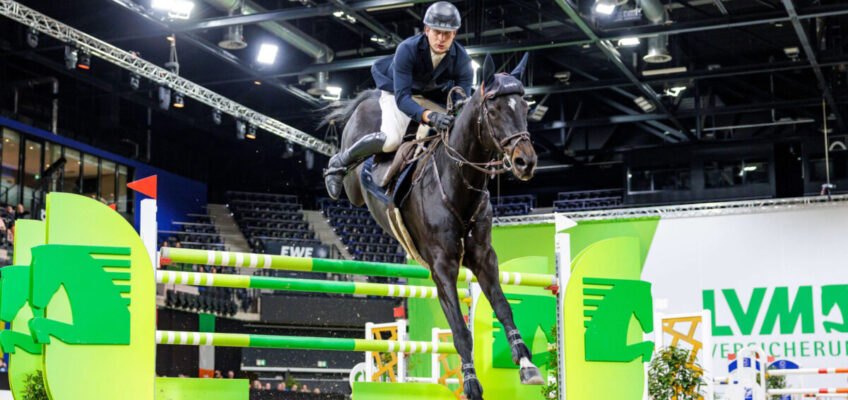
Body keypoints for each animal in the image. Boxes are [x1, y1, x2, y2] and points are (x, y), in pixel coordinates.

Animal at [322, 54, 540, 400]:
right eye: (493, 110)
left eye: (524, 108)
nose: (525, 162)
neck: (458, 182)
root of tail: (369, 96)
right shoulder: (442, 267)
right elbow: (461, 332)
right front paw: (471, 383)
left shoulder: (484, 258)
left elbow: (504, 307)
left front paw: (527, 365)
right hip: (358, 178)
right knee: (362, 154)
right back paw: (332, 173)